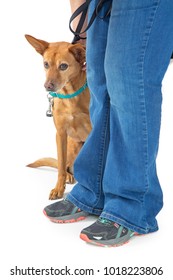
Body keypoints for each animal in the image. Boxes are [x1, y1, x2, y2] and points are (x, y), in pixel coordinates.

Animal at [25, 35, 92, 200]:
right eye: (46, 64)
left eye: (63, 66)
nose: (47, 86)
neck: (70, 96)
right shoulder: (61, 134)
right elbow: (61, 166)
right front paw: (58, 189)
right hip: (72, 146)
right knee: (67, 165)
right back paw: (70, 176)